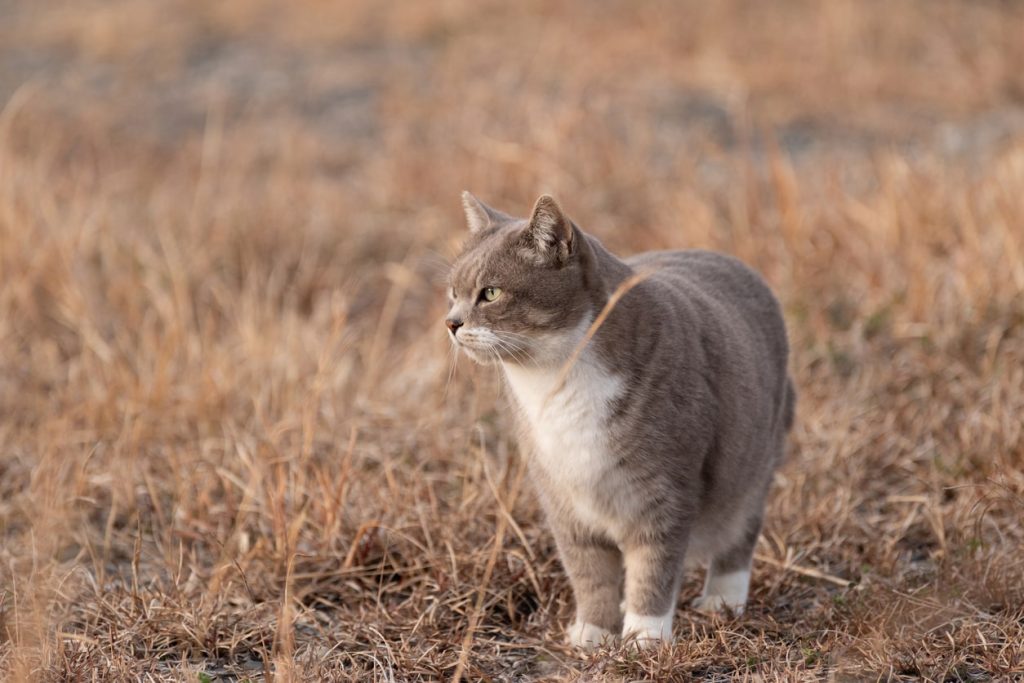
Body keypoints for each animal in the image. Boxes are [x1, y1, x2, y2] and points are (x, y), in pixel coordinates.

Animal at [444, 191, 794, 647]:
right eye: (453, 292)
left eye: (490, 293)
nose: (451, 323)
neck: (554, 385)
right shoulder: (561, 498)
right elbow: (589, 573)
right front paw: (593, 632)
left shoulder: (664, 490)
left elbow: (654, 565)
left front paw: (645, 637)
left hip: (754, 465)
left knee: (738, 533)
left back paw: (722, 601)